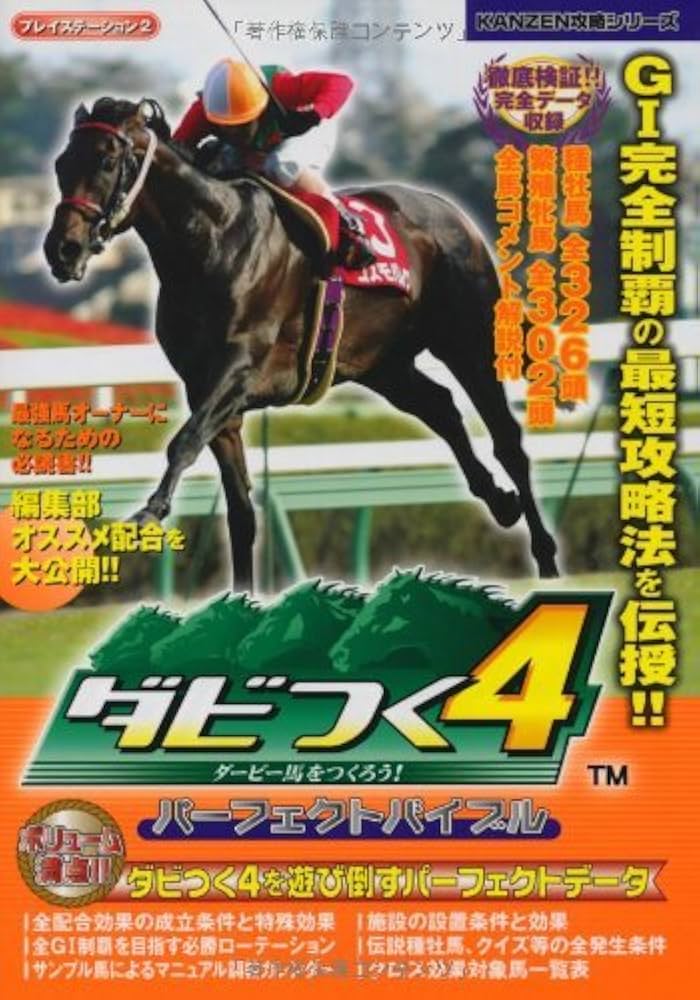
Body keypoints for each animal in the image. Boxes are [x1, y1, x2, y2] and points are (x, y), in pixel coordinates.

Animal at [43, 96, 559, 590]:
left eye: (107, 160)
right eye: (62, 163)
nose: (62, 250)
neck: (211, 241)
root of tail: (453, 213)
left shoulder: (239, 369)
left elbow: (184, 441)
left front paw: (150, 510)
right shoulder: (208, 392)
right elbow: (240, 512)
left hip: (469, 340)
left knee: (507, 439)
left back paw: (547, 555)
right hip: (384, 364)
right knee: (442, 407)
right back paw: (500, 502)